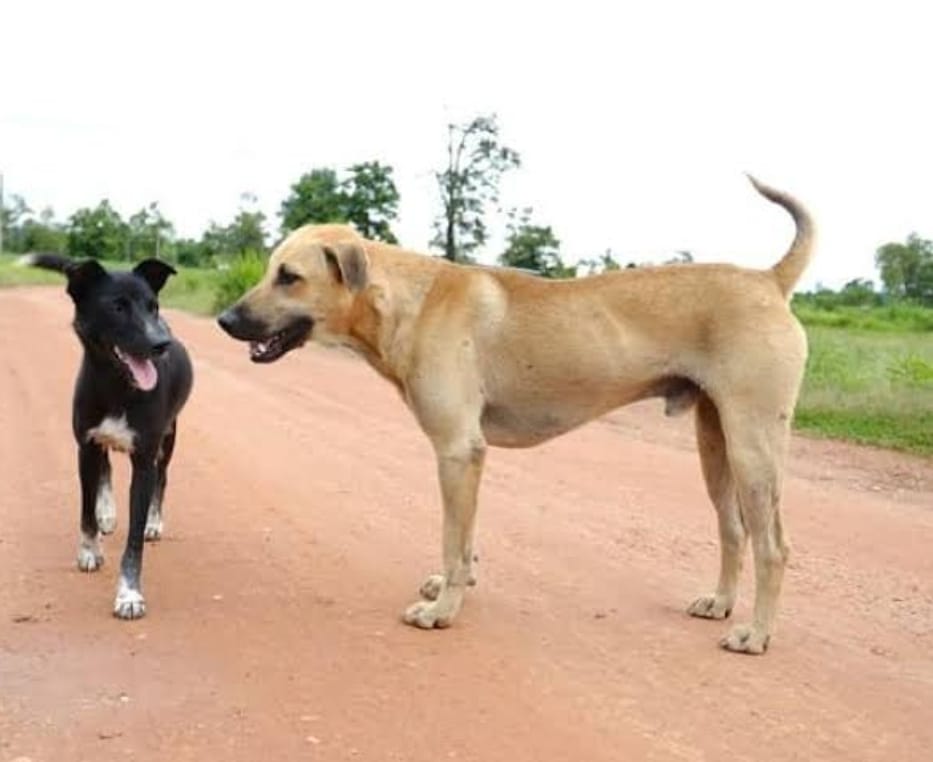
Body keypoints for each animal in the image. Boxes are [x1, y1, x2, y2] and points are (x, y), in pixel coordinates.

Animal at [22, 255, 193, 616]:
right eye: (117, 307)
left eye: (153, 306)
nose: (162, 344)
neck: (117, 386)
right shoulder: (85, 447)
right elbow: (86, 509)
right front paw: (90, 550)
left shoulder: (144, 461)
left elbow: (135, 539)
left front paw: (129, 594)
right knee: (107, 468)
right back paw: (107, 512)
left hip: (168, 439)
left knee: (163, 478)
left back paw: (154, 522)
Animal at [218, 178, 816, 652]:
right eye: (270, 270)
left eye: (289, 276)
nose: (225, 319)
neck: (410, 301)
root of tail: (768, 279)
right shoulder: (467, 456)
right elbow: (465, 539)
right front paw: (453, 588)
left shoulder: (458, 450)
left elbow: (453, 539)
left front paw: (442, 611)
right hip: (715, 443)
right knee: (733, 530)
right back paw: (719, 603)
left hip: (753, 447)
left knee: (774, 547)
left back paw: (756, 634)